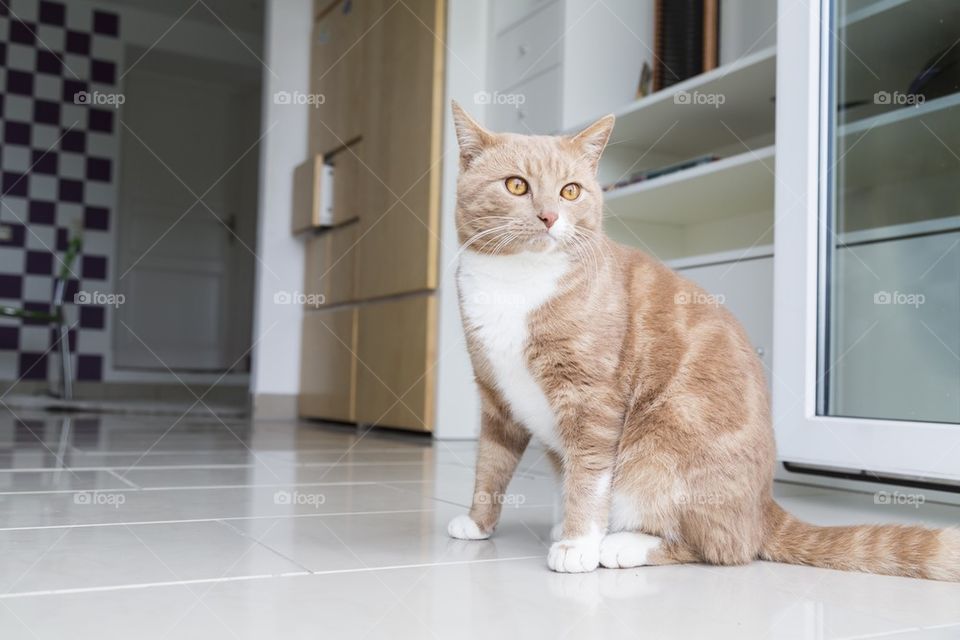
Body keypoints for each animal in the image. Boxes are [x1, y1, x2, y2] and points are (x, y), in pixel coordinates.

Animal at [448, 101, 960, 580]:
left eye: (570, 191)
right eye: (517, 186)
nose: (550, 216)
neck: (517, 283)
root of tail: (764, 507)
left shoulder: (592, 401)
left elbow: (589, 477)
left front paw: (578, 544)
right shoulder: (494, 396)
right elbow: (490, 466)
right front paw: (478, 523)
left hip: (660, 448)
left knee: (721, 546)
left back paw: (622, 543)